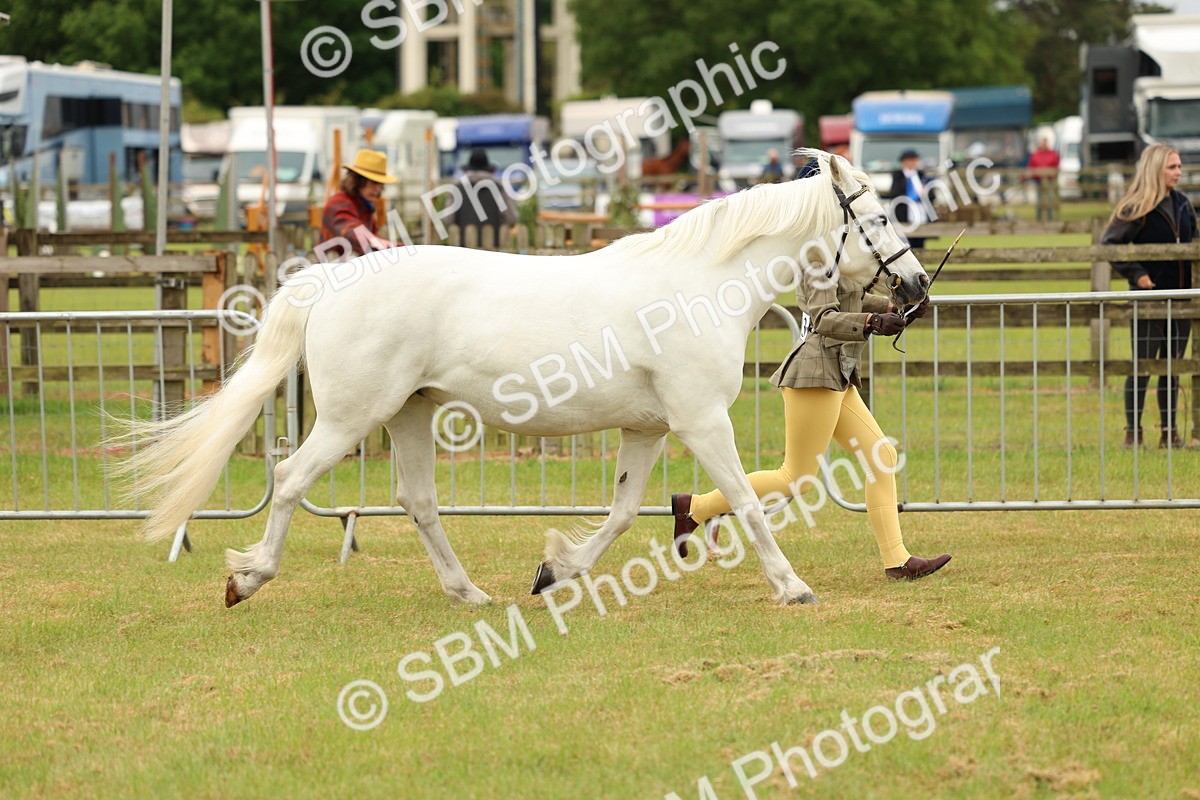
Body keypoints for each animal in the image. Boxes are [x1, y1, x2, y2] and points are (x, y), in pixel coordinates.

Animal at [120, 151, 929, 608]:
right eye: (882, 216)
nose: (918, 287)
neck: (700, 286)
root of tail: (328, 279)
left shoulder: (648, 428)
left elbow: (624, 512)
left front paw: (555, 571)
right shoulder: (702, 422)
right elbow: (749, 504)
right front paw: (793, 587)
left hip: (410, 414)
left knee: (418, 501)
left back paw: (468, 592)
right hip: (353, 418)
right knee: (290, 480)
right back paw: (247, 578)